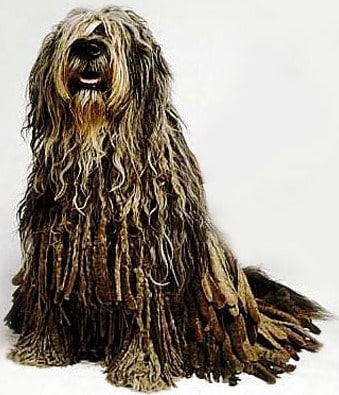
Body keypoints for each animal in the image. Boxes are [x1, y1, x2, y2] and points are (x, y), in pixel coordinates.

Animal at [6, 6, 326, 392]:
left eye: (112, 34)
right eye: (75, 33)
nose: (88, 47)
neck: (97, 144)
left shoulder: (147, 259)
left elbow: (145, 316)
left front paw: (141, 368)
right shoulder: (53, 246)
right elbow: (51, 301)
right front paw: (42, 351)